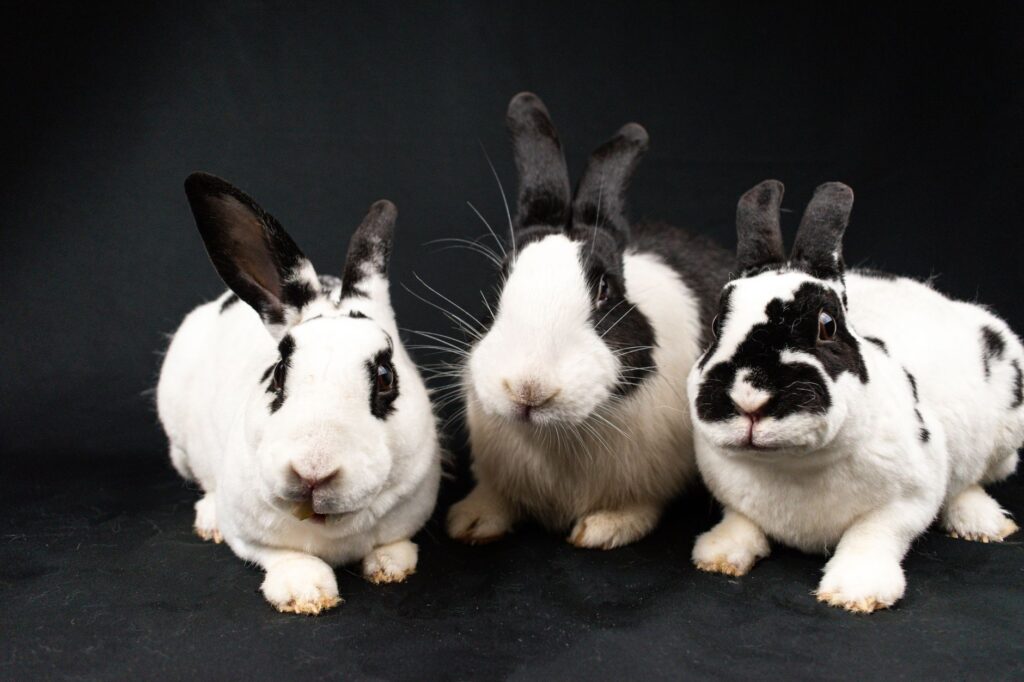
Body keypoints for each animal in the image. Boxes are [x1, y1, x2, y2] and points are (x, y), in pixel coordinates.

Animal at [157, 173, 441, 615]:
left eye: (385, 377)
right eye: (277, 373)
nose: (312, 472)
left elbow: (394, 543)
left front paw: (391, 567)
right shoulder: (250, 534)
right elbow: (283, 555)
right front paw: (304, 592)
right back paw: (208, 519)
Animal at [446, 92, 734, 549]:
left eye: (605, 290)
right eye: (501, 278)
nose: (528, 389)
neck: (555, 435)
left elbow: (637, 506)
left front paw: (603, 529)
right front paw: (471, 521)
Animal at [688, 179, 1023, 613]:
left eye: (827, 325)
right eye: (716, 325)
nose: (749, 399)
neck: (792, 465)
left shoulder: (908, 500)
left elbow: (872, 535)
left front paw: (856, 592)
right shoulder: (732, 497)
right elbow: (740, 522)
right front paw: (717, 555)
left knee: (972, 481)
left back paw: (984, 523)